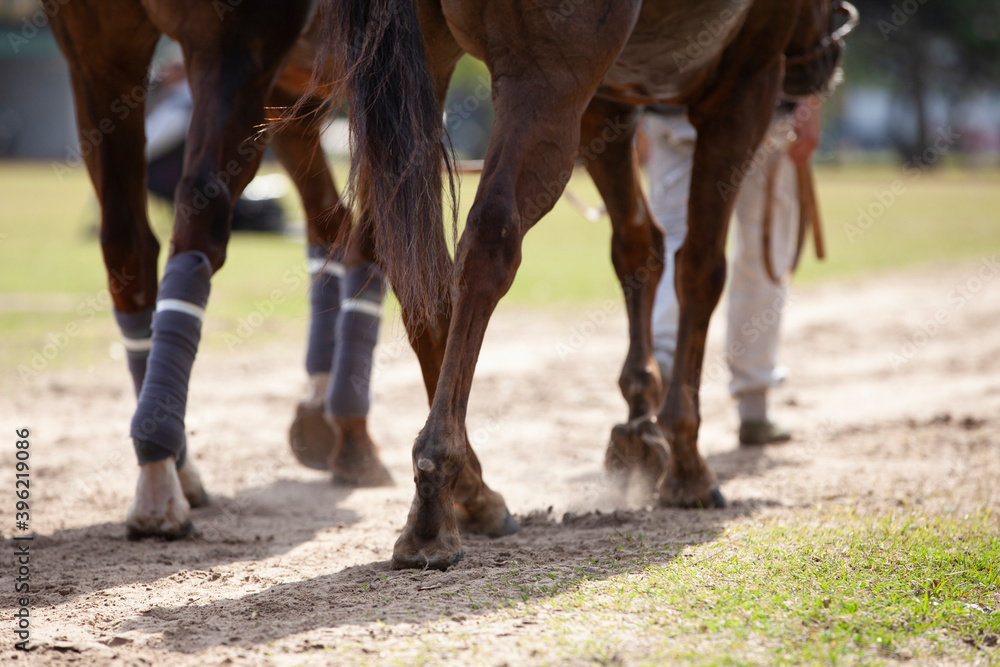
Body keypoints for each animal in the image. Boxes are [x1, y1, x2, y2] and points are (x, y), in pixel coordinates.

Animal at [324, 0, 854, 570]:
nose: (833, 43)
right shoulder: (745, 82)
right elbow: (701, 267)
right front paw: (686, 462)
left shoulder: (609, 104)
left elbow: (639, 246)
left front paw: (640, 423)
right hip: (546, 84)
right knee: (490, 241)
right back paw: (436, 493)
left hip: (427, 68)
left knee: (413, 266)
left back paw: (474, 491)